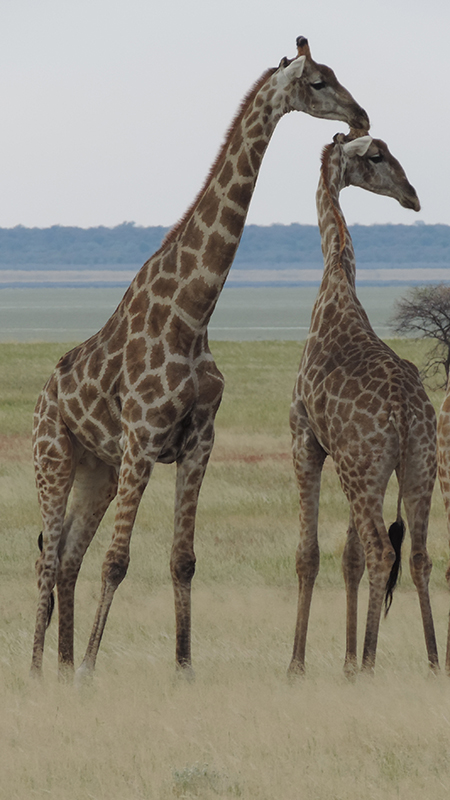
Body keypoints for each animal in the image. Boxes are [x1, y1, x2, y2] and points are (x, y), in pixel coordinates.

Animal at [31, 38, 369, 680]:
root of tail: (40, 398)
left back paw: (57, 666)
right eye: (317, 81)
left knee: (65, 556)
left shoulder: (198, 440)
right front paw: (90, 669)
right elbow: (118, 560)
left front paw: (183, 667)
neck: (193, 315)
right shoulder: (142, 438)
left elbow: (181, 558)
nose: (360, 116)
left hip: (97, 468)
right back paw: (42, 668)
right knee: (46, 555)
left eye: (337, 74)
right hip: (53, 458)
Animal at [288, 132, 439, 677]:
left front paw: (298, 664)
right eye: (377, 156)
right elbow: (346, 556)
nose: (412, 195)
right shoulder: (343, 459)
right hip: (418, 465)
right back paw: (433, 661)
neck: (336, 281)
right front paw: (347, 663)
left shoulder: (306, 439)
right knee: (418, 556)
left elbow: (310, 553)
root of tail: (404, 413)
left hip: (364, 469)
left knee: (381, 552)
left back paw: (374, 661)